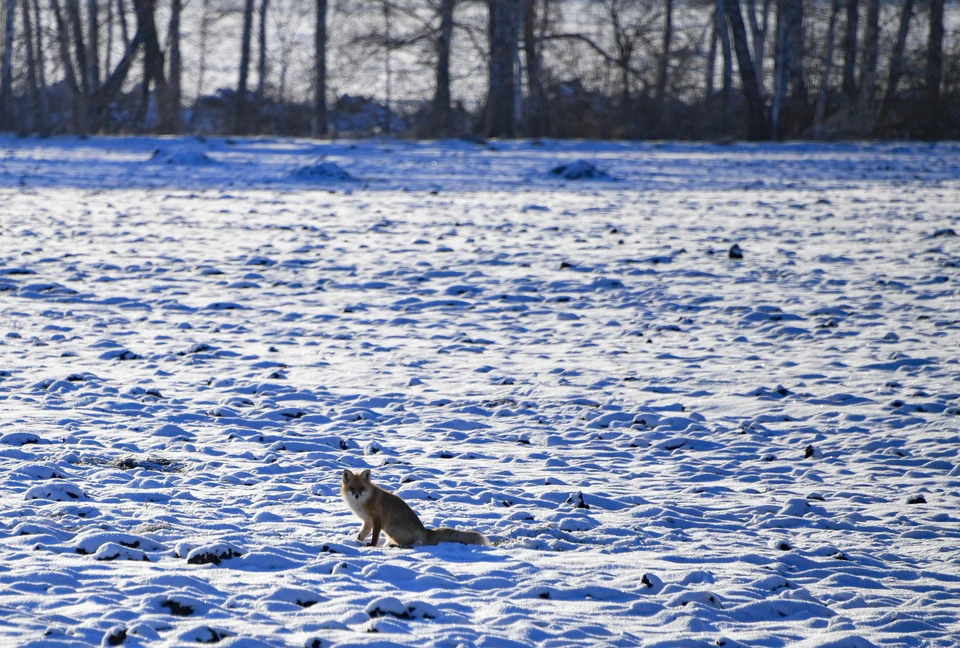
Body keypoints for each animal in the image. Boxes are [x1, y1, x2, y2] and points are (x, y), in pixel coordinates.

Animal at [340, 468, 488, 548]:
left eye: (361, 488)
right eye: (352, 488)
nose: (357, 496)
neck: (363, 502)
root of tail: (423, 529)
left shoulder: (376, 520)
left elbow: (375, 537)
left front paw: (372, 546)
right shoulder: (368, 522)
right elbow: (361, 535)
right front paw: (355, 542)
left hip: (390, 528)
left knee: (410, 543)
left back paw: (397, 546)